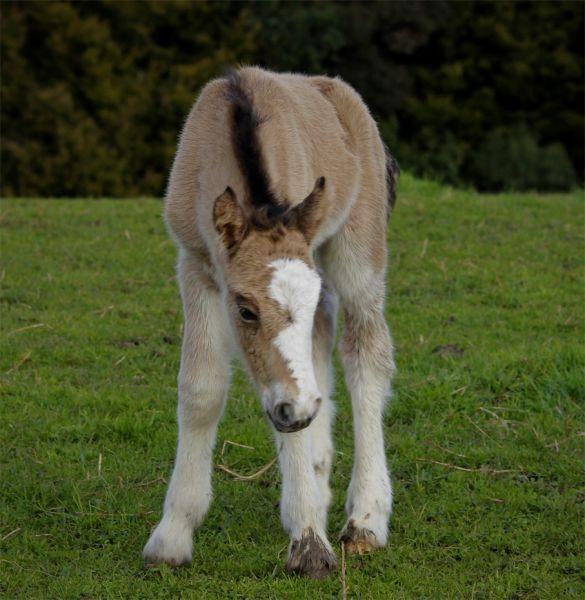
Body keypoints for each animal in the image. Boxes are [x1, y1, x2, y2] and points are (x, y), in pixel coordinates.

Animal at [143, 68, 396, 580]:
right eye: (245, 309)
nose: (297, 408)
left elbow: (292, 410)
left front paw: (309, 543)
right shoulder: (196, 264)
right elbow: (201, 390)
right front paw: (172, 537)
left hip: (358, 247)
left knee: (367, 353)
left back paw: (365, 519)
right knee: (321, 346)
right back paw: (320, 481)